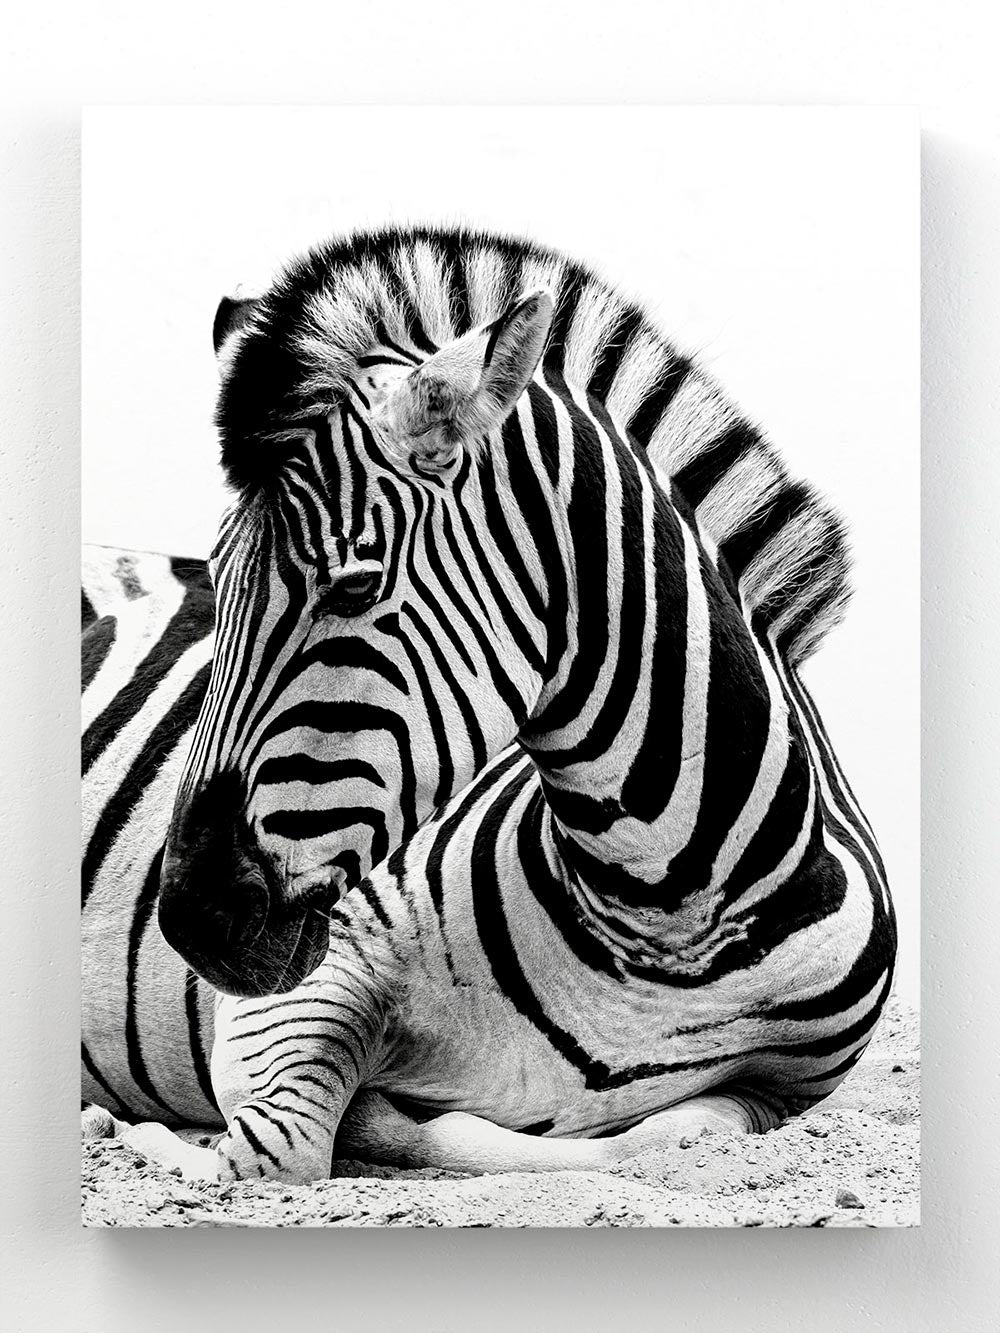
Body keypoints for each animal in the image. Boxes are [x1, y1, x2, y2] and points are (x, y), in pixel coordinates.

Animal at [82, 225, 896, 1182]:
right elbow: (282, 1146)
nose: (189, 918)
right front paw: (143, 1134)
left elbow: (655, 1137)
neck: (664, 927)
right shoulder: (299, 988)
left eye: (354, 587)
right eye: (214, 585)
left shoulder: (782, 1091)